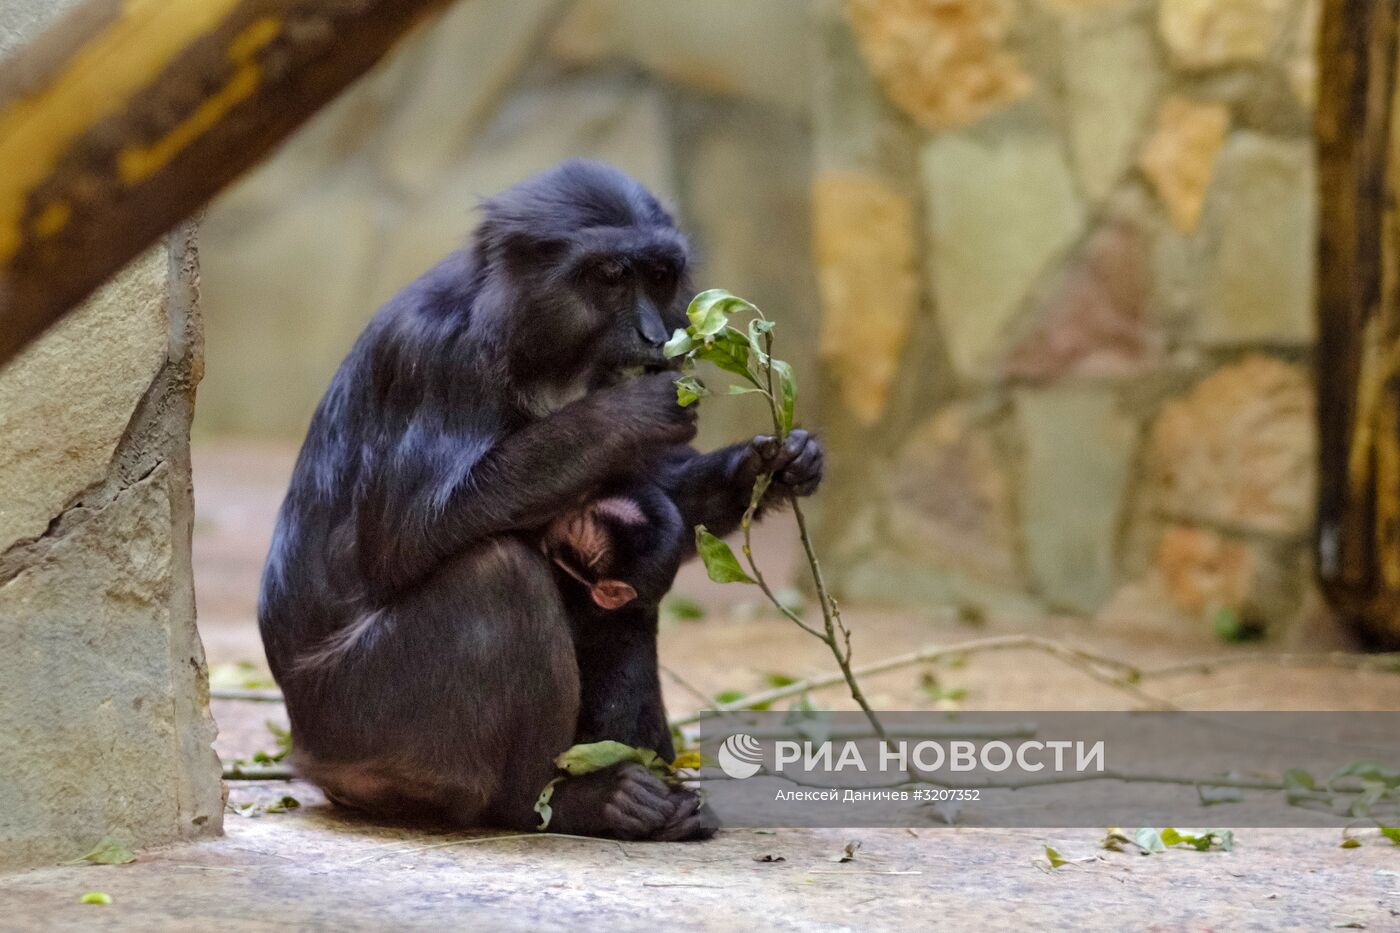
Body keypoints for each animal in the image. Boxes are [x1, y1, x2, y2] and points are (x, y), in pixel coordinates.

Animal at [260, 156, 817, 840]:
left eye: (659, 275)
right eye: (611, 274)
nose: (653, 333)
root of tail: (307, 755)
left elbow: (659, 505)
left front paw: (772, 464)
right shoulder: (436, 355)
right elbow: (406, 535)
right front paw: (629, 413)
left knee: (622, 610)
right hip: (365, 733)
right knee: (498, 577)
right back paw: (552, 802)